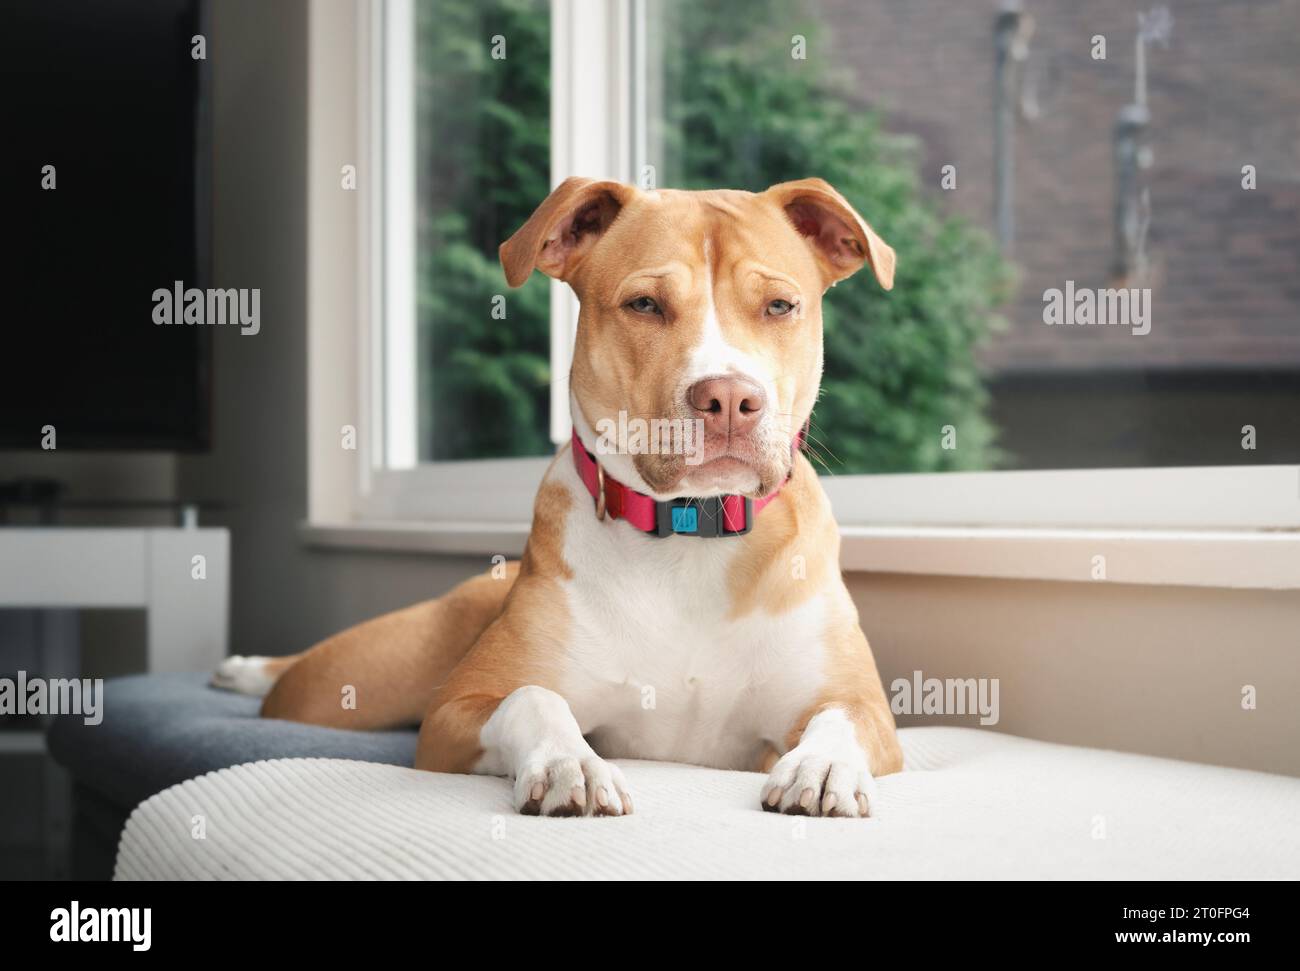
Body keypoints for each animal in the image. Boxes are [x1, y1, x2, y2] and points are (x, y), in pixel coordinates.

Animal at [215, 178, 904, 816]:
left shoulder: (867, 710)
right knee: (294, 681)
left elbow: (838, 717)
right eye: (644, 304)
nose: (730, 398)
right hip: (346, 687)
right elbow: (533, 697)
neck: (688, 533)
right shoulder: (452, 712)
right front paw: (570, 763)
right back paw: (245, 668)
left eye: (780, 305)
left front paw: (821, 765)